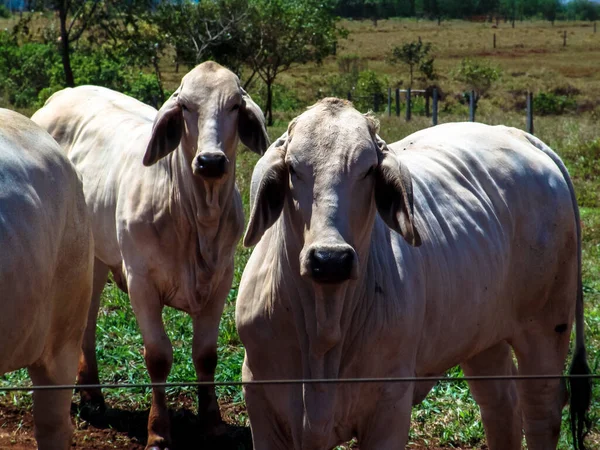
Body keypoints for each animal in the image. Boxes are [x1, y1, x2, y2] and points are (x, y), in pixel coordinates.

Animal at [31, 60, 268, 450]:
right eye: (185, 105)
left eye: (235, 104)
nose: (210, 161)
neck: (196, 215)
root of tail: (60, 96)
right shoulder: (141, 281)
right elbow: (158, 356)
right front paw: (158, 431)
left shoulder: (221, 279)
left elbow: (206, 355)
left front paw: (212, 424)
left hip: (96, 257)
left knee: (89, 315)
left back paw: (92, 393)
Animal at [236, 98, 592, 450]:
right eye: (294, 168)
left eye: (368, 169)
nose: (331, 259)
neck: (324, 329)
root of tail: (520, 135)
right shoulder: (260, 401)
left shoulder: (390, 405)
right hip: (482, 337)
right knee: (501, 404)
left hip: (546, 327)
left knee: (541, 410)